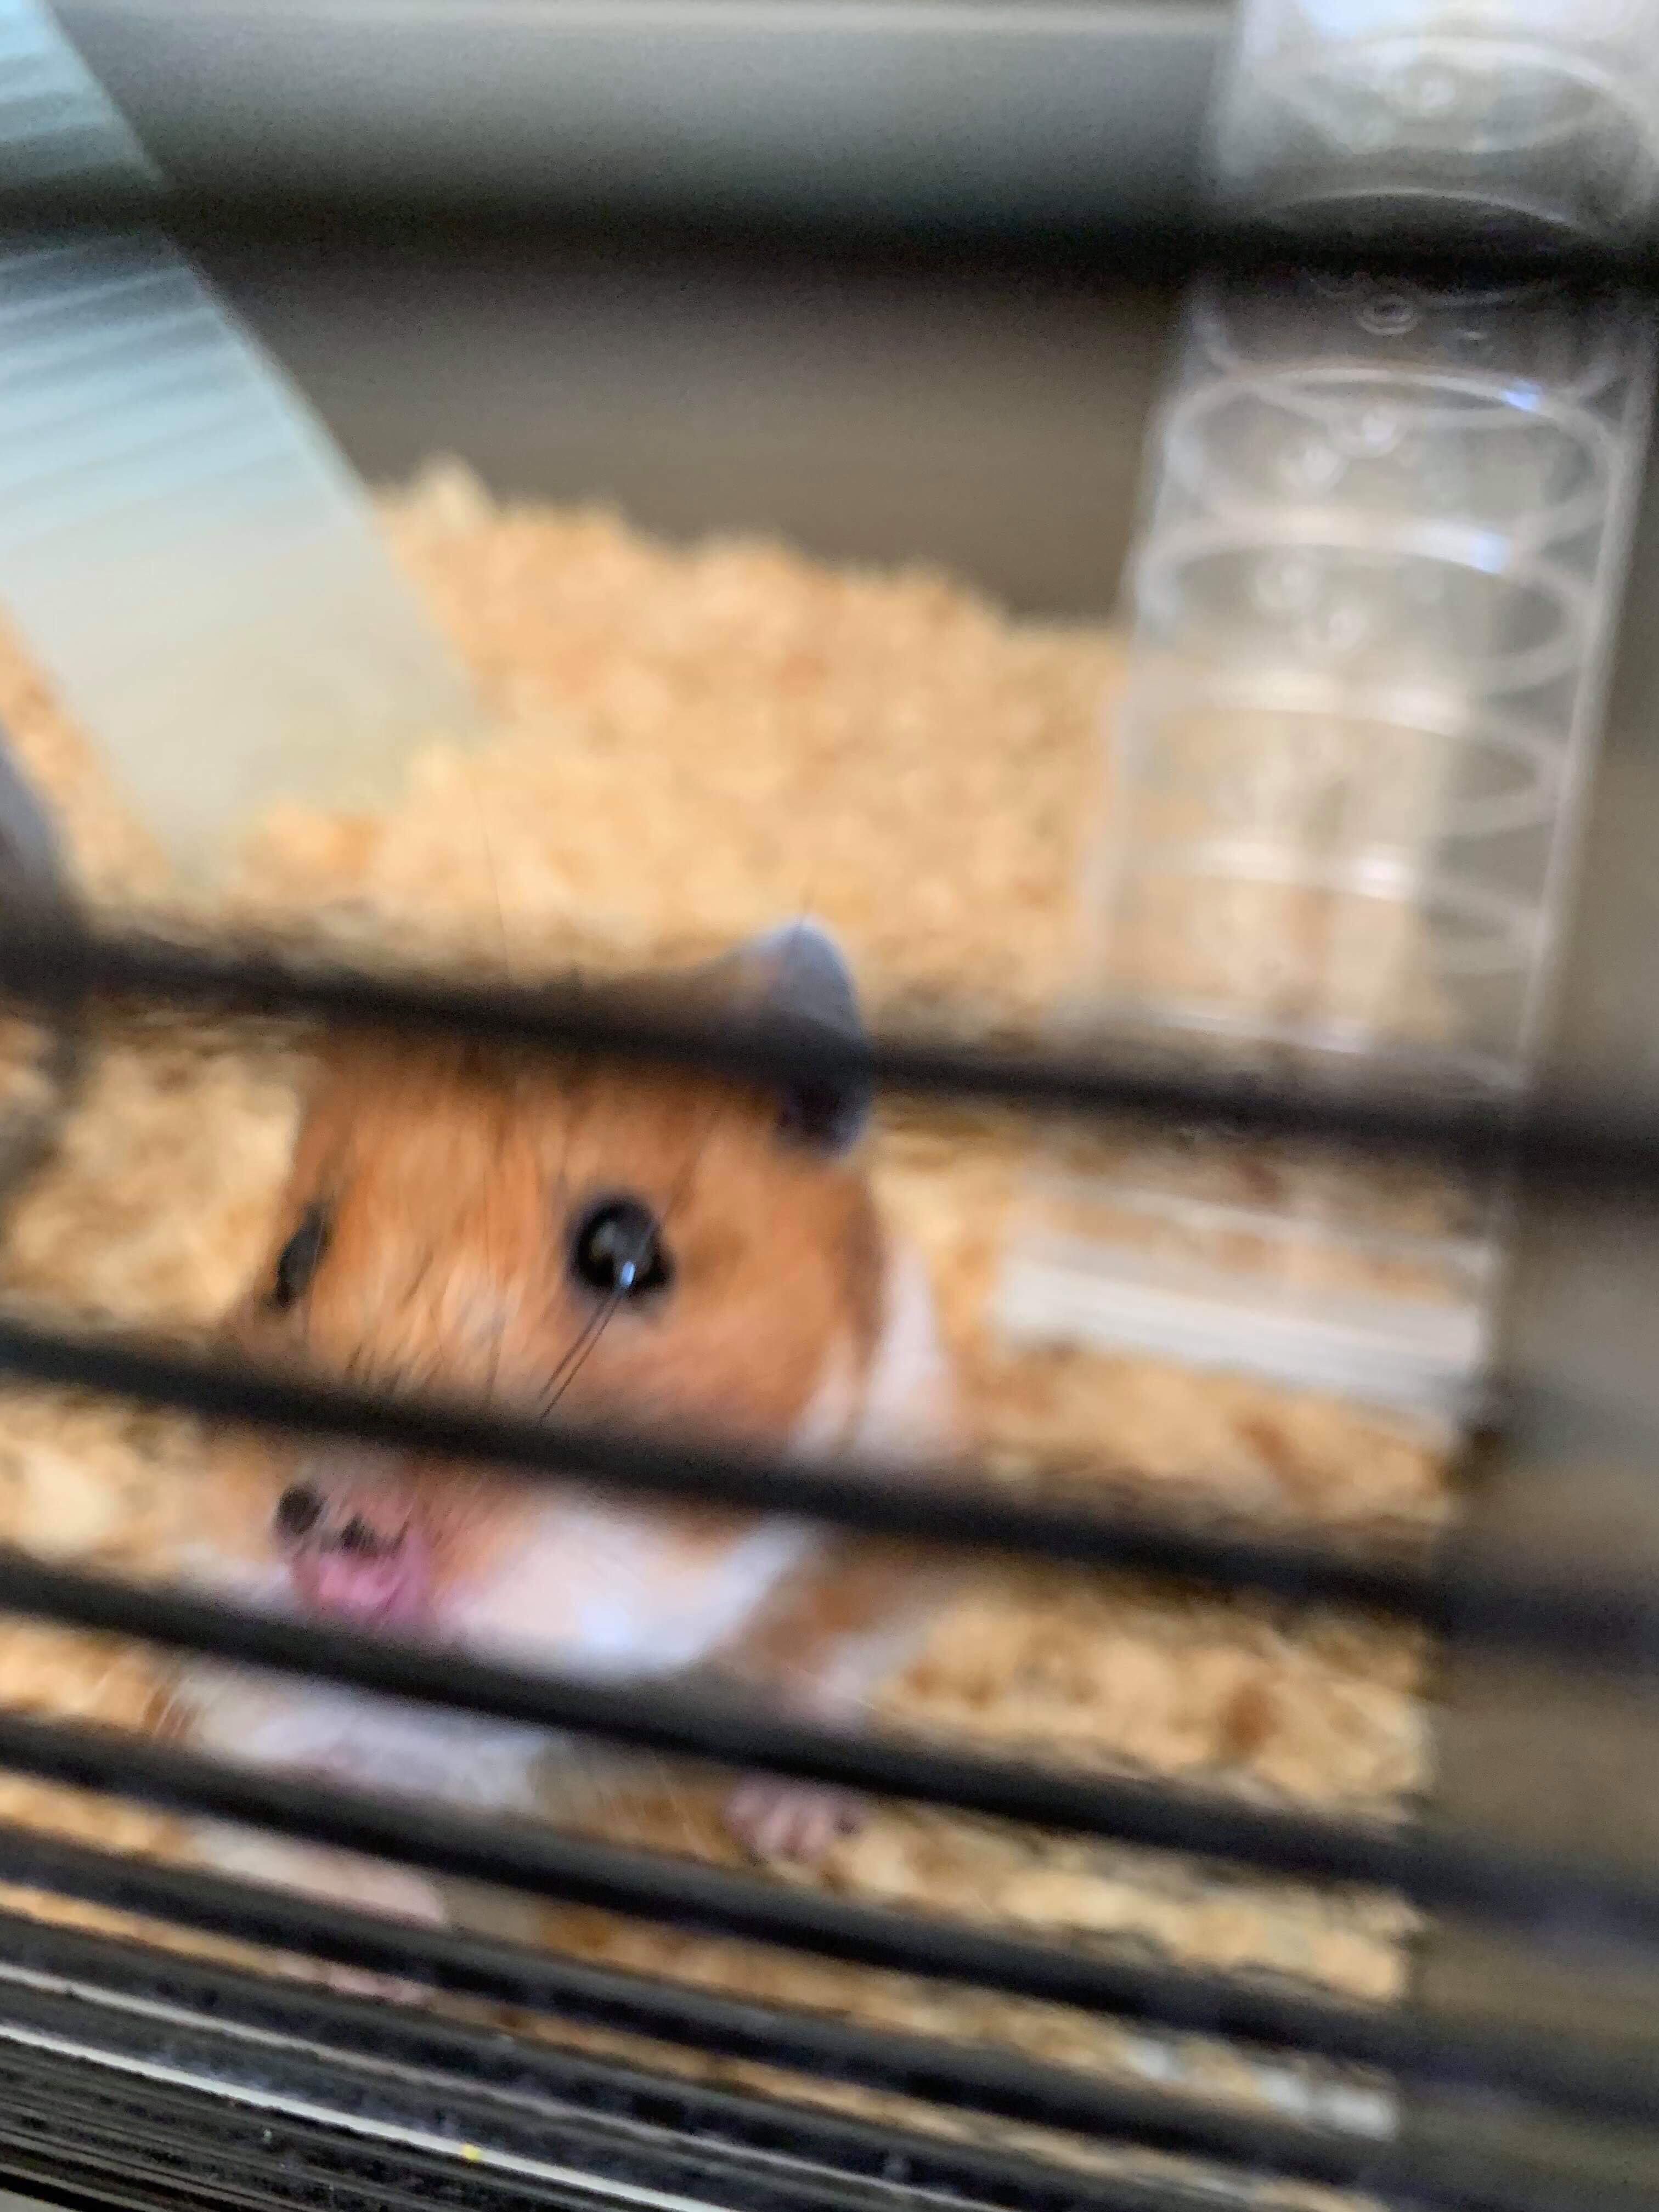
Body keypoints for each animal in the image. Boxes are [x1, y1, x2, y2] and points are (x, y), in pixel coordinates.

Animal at [168, 924, 958, 1940]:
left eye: (624, 1252)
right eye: (291, 1262)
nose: (339, 1556)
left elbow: (829, 1672)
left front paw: (782, 1829)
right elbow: (280, 1804)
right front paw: (398, 1934)